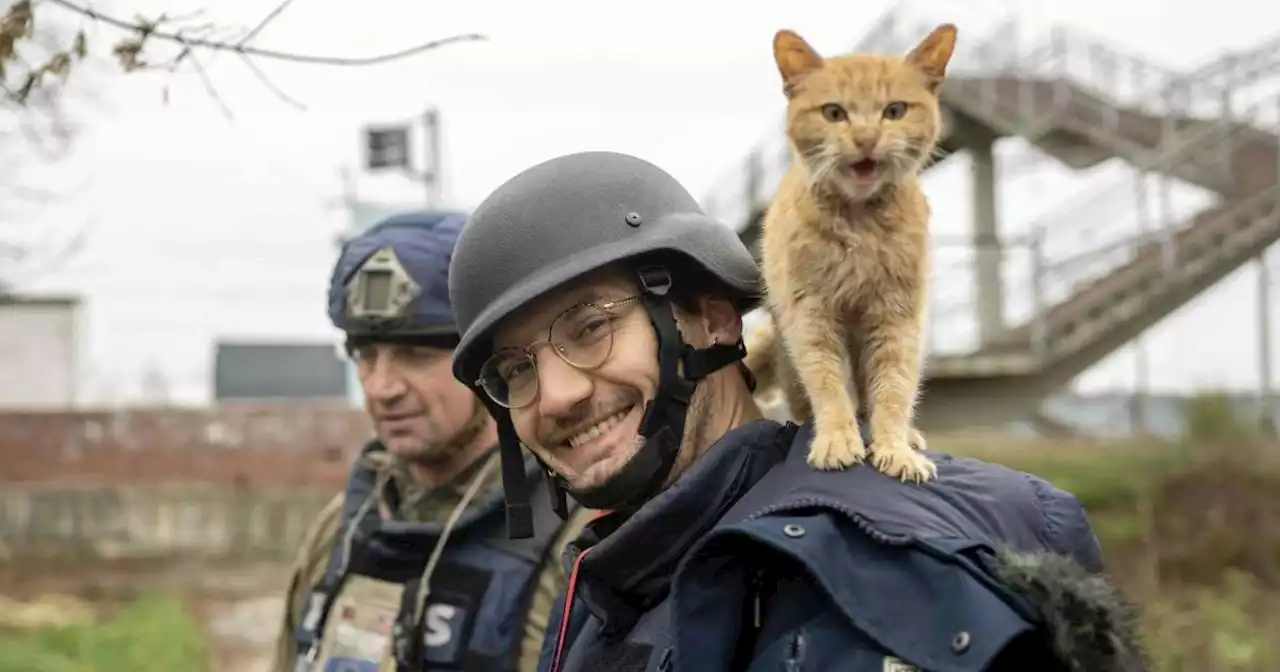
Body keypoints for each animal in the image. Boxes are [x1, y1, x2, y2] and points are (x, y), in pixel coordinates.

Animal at [757, 23, 952, 478]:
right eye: (834, 113)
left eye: (894, 111)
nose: (866, 137)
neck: (860, 226)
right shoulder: (811, 316)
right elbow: (829, 384)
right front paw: (836, 439)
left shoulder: (897, 318)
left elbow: (894, 388)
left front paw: (895, 447)